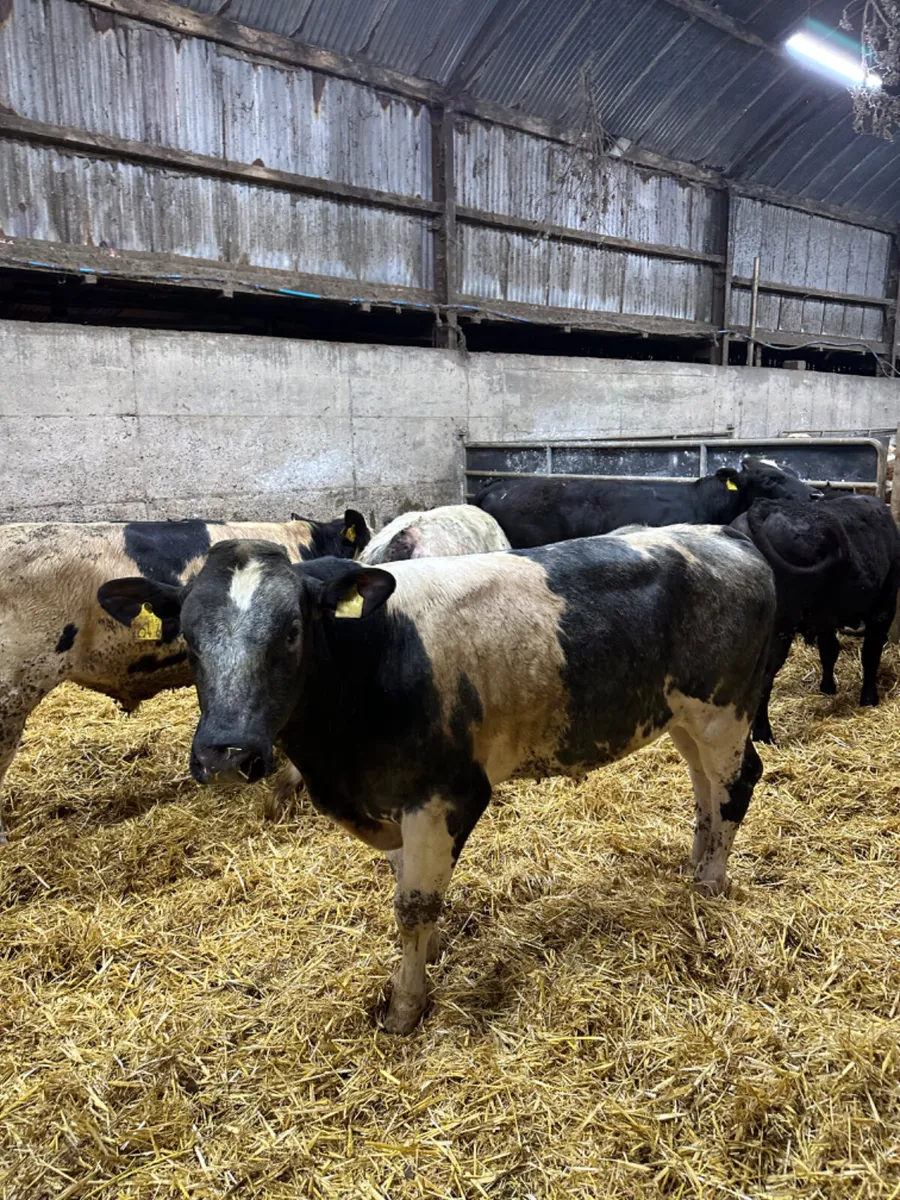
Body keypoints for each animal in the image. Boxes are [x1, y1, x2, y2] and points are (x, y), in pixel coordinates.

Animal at [99, 525, 775, 1034]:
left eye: (291, 631)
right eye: (188, 638)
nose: (226, 753)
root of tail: (720, 534)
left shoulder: (446, 792)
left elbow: (414, 904)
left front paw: (405, 1008)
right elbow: (407, 889)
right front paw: (424, 961)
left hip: (723, 711)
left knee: (737, 784)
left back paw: (710, 884)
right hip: (681, 717)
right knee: (705, 794)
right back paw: (696, 865)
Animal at [733, 496, 900, 743]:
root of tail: (763, 507)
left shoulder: (825, 619)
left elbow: (829, 651)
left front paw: (827, 687)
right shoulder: (883, 607)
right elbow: (870, 654)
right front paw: (869, 699)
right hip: (778, 630)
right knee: (762, 680)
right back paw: (763, 734)